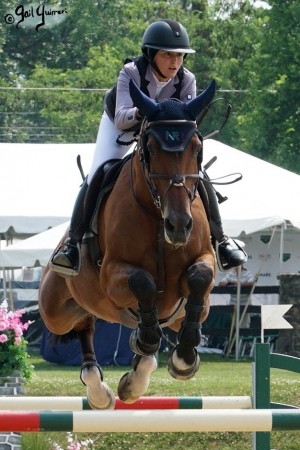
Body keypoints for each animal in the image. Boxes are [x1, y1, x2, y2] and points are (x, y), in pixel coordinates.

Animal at [39, 79, 216, 410]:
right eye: (151, 149)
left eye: (197, 149)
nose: (178, 225)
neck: (157, 217)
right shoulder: (112, 275)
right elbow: (143, 282)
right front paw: (146, 340)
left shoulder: (203, 261)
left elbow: (200, 276)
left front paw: (184, 359)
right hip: (55, 310)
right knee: (83, 327)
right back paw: (100, 391)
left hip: (179, 314)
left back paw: (131, 379)